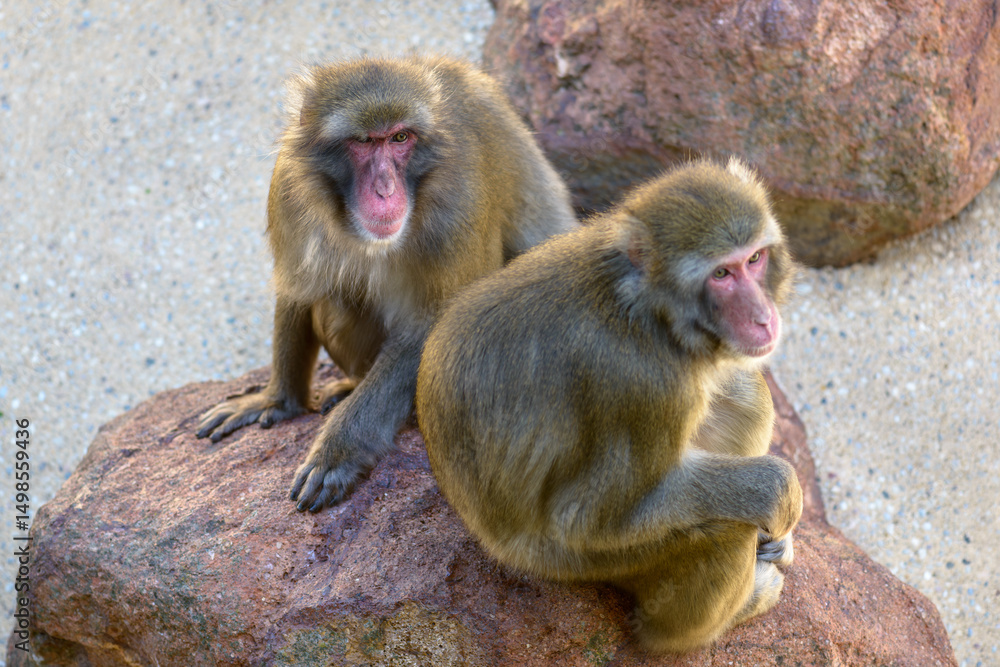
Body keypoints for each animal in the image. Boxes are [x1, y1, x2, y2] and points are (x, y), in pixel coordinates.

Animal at [195, 56, 577, 512]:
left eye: (399, 138)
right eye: (363, 141)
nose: (384, 188)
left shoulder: (461, 200)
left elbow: (442, 324)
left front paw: (339, 449)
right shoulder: (288, 186)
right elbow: (298, 286)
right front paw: (276, 401)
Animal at [416, 158, 803, 653]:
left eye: (754, 260)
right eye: (721, 275)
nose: (762, 318)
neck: (645, 308)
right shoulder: (642, 385)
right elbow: (591, 521)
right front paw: (775, 489)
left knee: (745, 388)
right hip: (575, 565)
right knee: (722, 530)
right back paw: (703, 623)